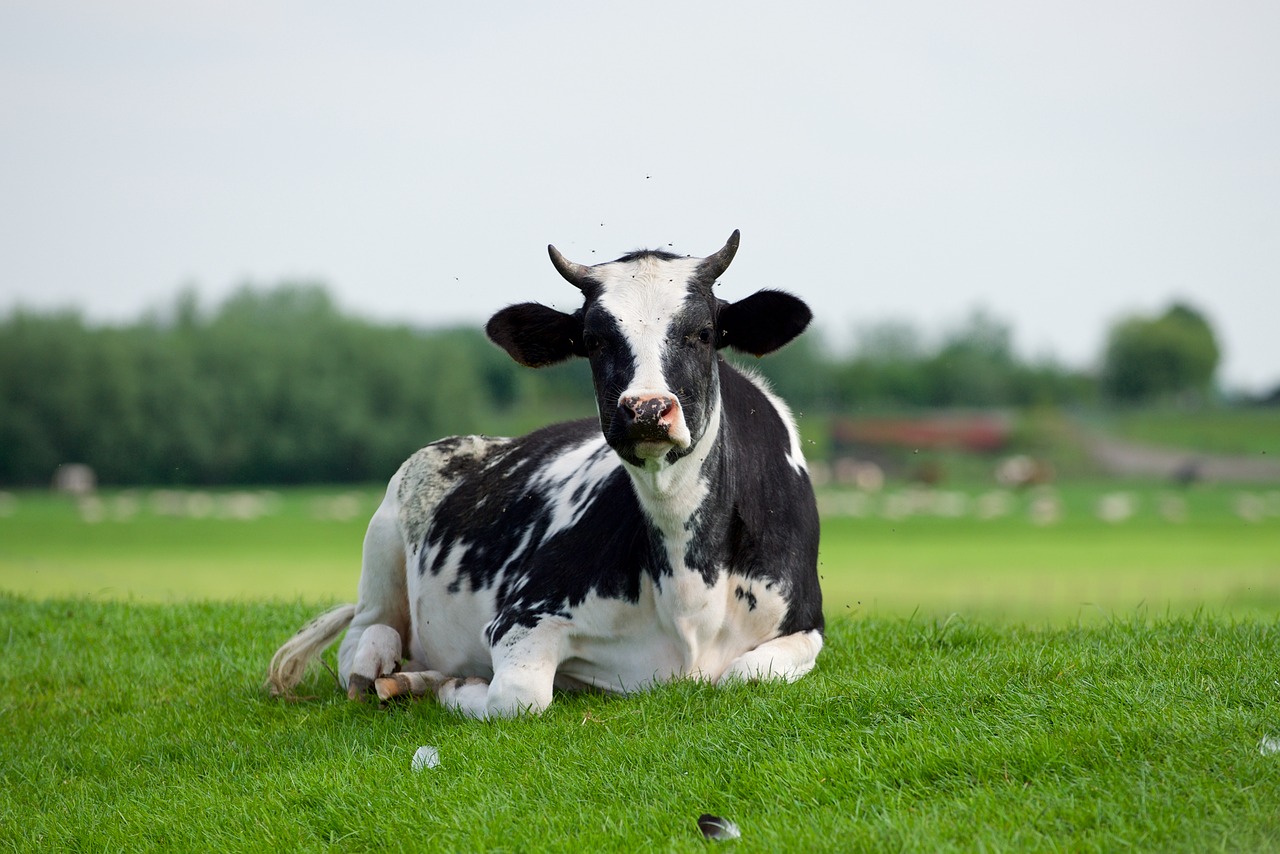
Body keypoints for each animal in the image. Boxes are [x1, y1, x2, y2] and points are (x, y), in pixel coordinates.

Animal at [266, 230, 824, 717]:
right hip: (380, 557)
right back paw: (391, 673)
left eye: (704, 333)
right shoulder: (521, 618)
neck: (691, 586)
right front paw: (456, 687)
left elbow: (744, 674)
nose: (646, 409)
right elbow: (518, 697)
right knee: (364, 642)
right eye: (594, 340)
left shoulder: (806, 625)